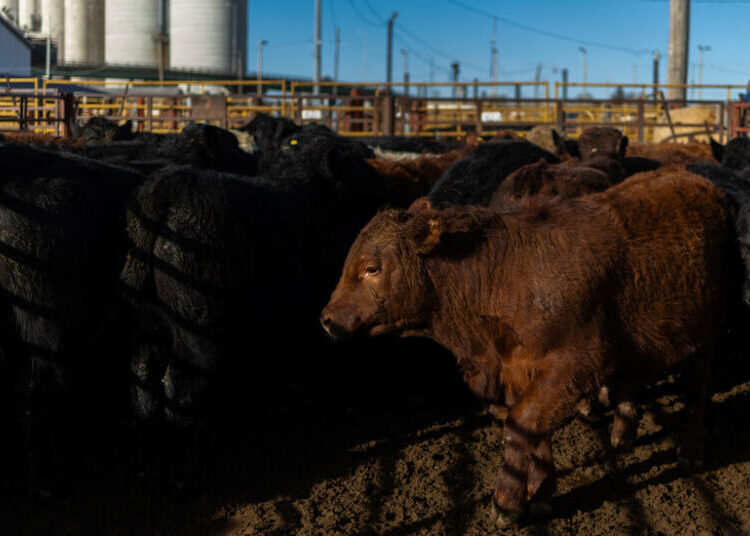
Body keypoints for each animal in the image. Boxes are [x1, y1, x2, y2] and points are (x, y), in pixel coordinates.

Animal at [321, 167, 733, 527]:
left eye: (372, 268)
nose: (327, 318)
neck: (504, 275)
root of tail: (694, 179)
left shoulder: (572, 366)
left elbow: (521, 425)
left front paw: (507, 503)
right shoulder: (519, 371)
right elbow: (534, 433)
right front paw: (541, 490)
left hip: (707, 333)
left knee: (697, 391)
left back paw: (691, 450)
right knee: (631, 381)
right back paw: (622, 433)